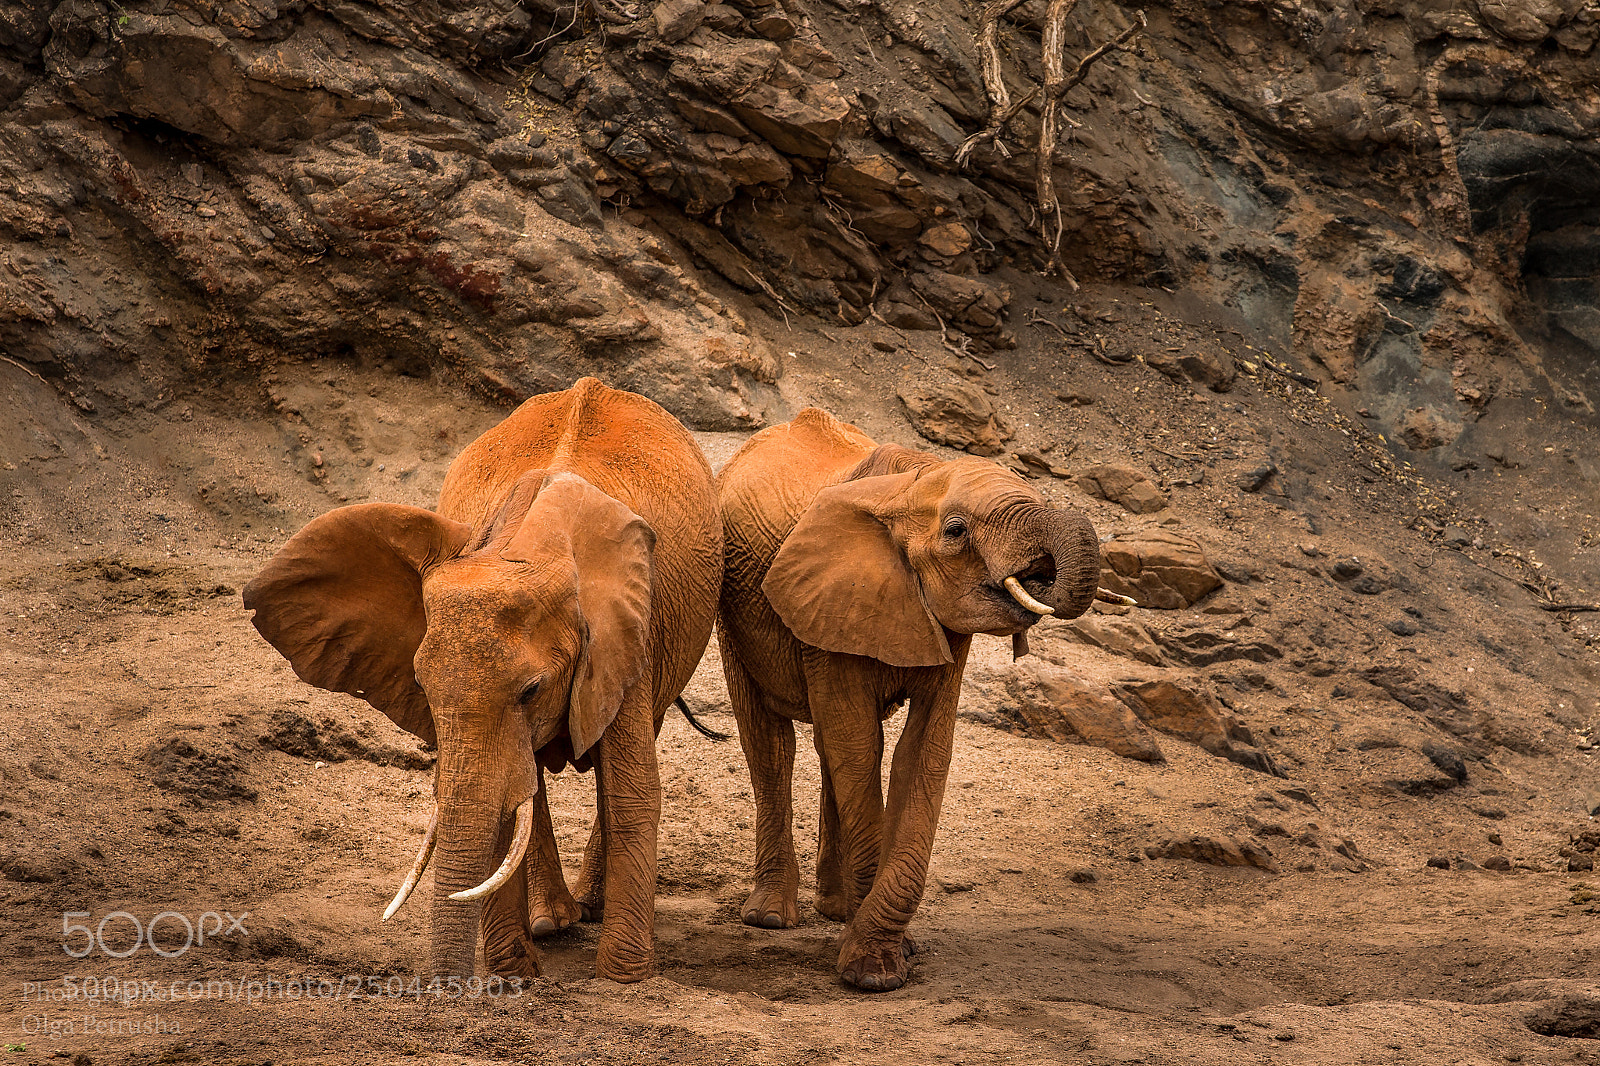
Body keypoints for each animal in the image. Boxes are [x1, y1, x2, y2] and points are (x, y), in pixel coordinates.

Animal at [243, 377, 722, 983]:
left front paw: (622, 977)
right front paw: (514, 971)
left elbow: (630, 789)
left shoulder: (629, 629)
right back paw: (551, 922)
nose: (451, 989)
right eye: (421, 688)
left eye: (532, 690)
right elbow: (507, 795)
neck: (522, 546)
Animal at [716, 407, 1100, 991]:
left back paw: (834, 910)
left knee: (827, 748)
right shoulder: (829, 605)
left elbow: (921, 751)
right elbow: (859, 745)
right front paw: (871, 974)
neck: (912, 484)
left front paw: (888, 953)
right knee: (772, 745)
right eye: (956, 531)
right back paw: (771, 917)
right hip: (730, 612)